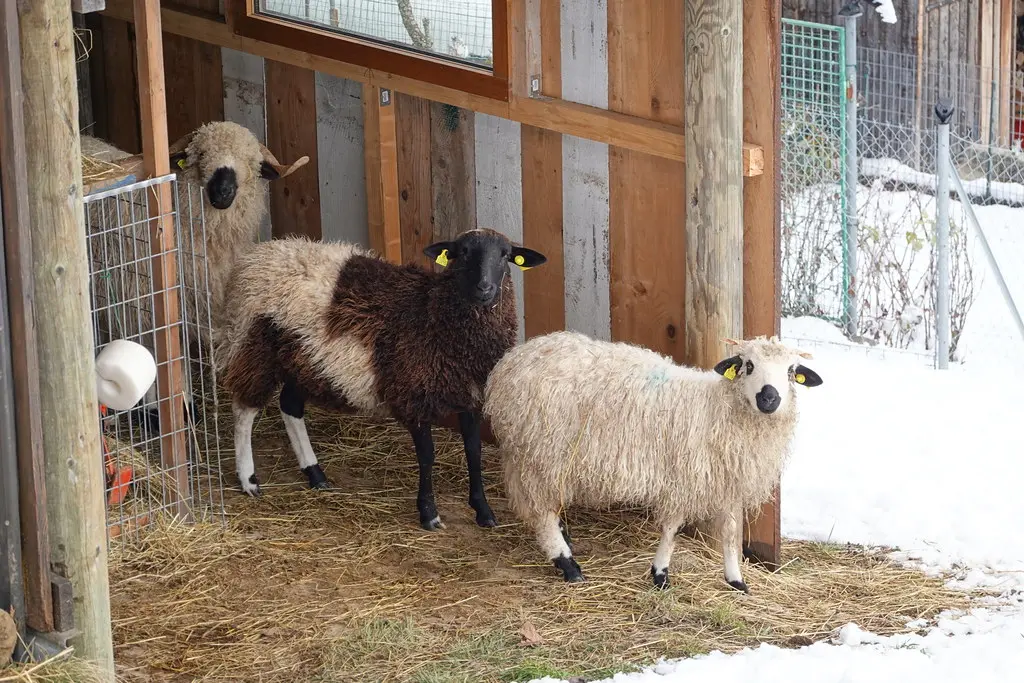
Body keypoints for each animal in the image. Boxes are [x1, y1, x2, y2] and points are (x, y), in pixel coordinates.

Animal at [214, 228, 548, 530]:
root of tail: (257, 255)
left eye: (505, 255)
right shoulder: (413, 394)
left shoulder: (470, 397)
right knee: (243, 410)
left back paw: (315, 474)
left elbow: (474, 452)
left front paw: (483, 512)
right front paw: (429, 513)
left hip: (303, 360)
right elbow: (427, 456)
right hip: (255, 346)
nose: (485, 288)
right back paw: (248, 480)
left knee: (290, 406)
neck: (431, 313)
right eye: (462, 252)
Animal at [483, 332, 823, 593]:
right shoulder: (683, 478)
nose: (769, 398)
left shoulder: (727, 482)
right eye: (748, 366)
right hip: (542, 456)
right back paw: (568, 564)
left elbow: (729, 531)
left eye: (791, 371)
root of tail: (511, 362)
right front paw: (660, 574)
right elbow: (672, 528)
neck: (720, 410)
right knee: (543, 514)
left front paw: (735, 579)